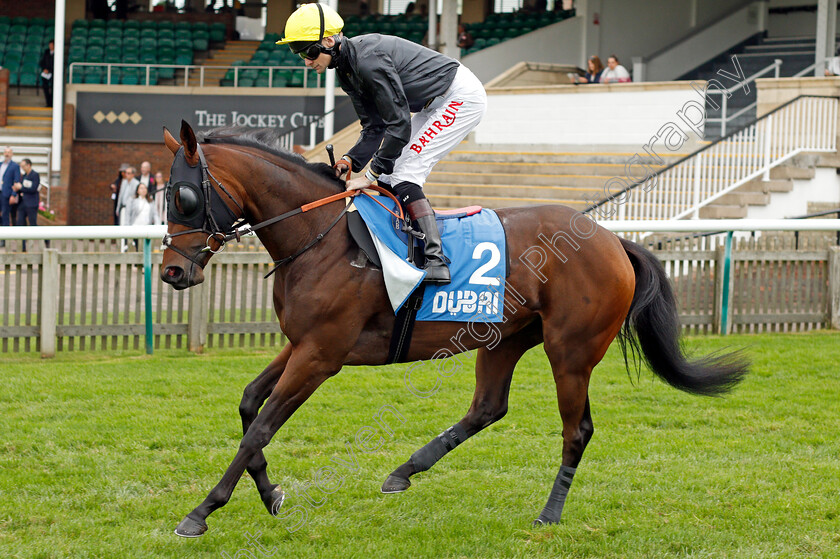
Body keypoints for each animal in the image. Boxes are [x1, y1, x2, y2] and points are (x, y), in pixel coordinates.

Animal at [159, 121, 748, 540]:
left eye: (183, 197)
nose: (172, 273)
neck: (321, 237)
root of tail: (611, 239)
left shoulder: (321, 354)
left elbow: (260, 427)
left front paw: (202, 511)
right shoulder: (303, 344)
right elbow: (248, 404)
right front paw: (271, 493)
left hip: (571, 350)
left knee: (576, 430)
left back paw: (549, 513)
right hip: (504, 338)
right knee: (487, 407)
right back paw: (404, 471)